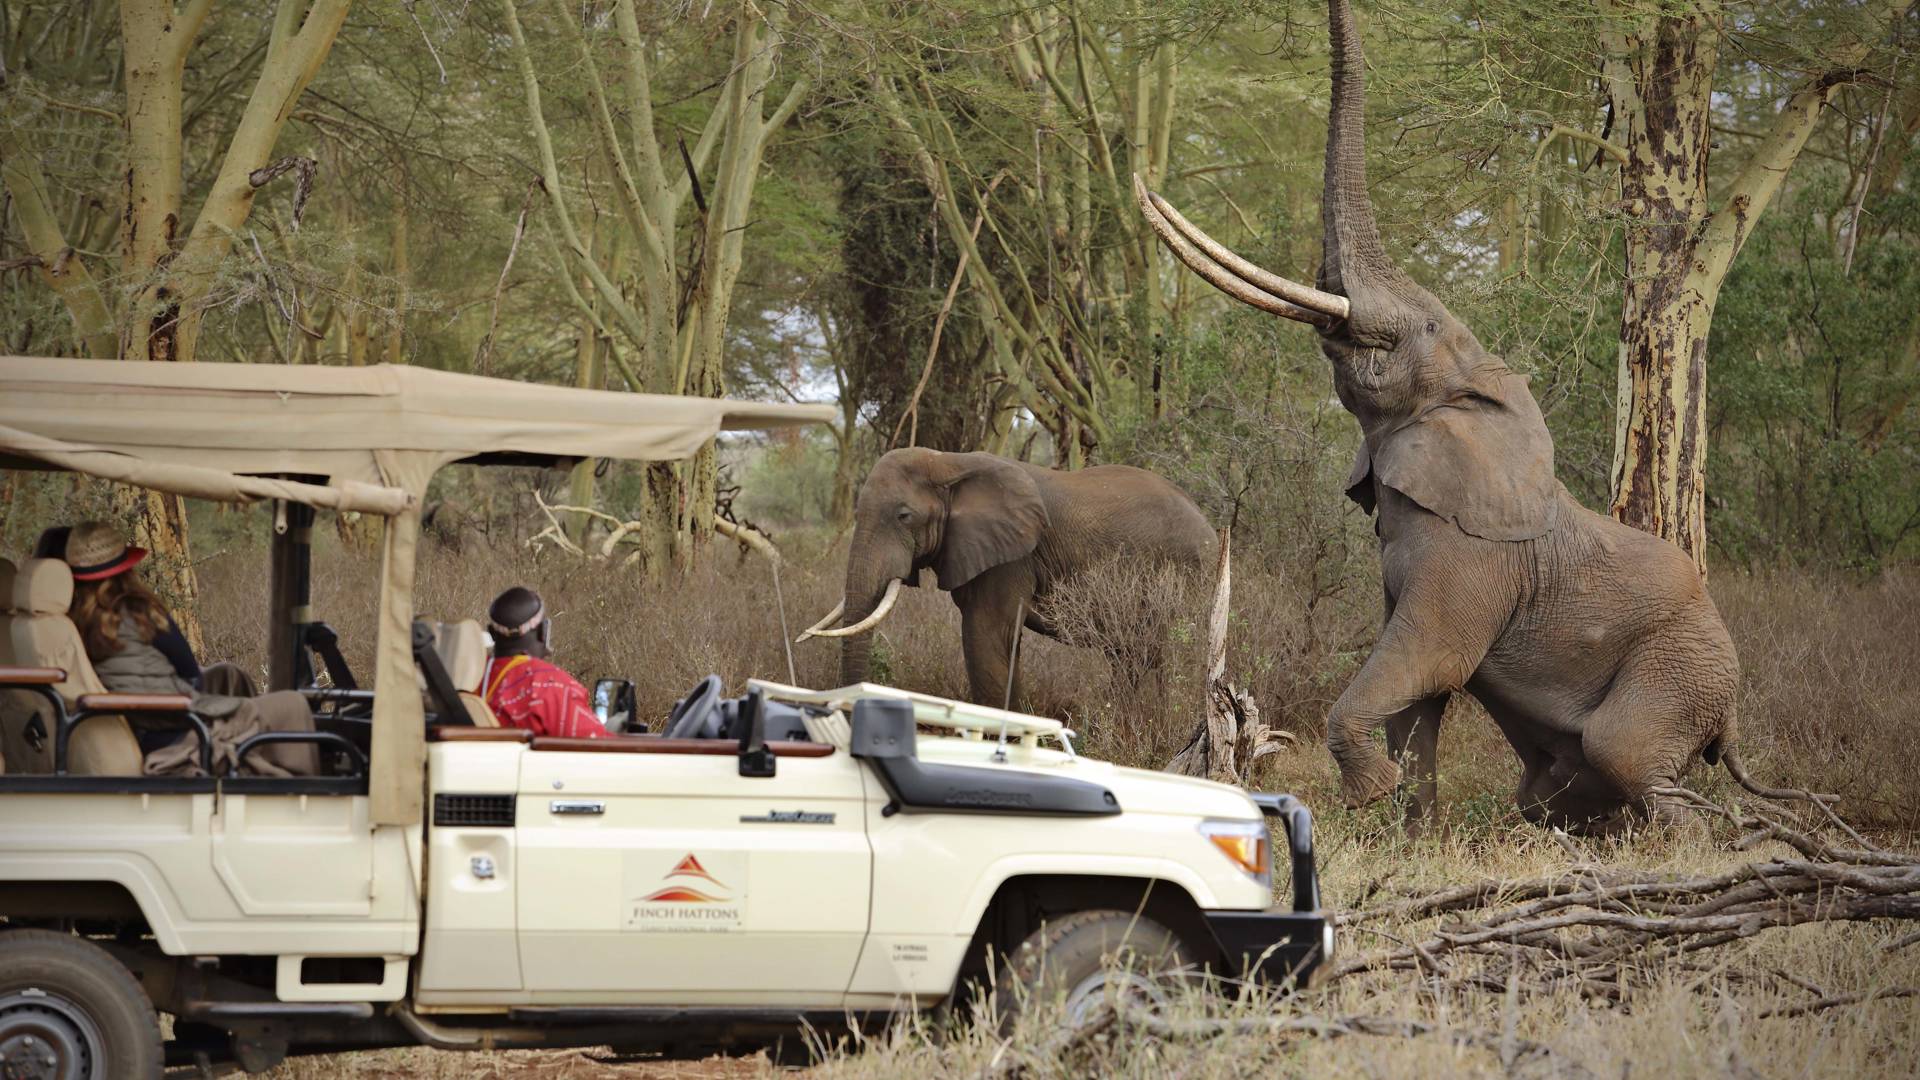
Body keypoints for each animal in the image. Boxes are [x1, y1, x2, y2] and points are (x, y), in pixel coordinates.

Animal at [1121, 0, 1781, 834]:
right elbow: (1416, 698)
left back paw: (1684, 844)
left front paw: (1368, 796)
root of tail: (1733, 715)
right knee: (1556, 788)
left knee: (1628, 753)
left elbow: (1427, 659)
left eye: (1426, 327)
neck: (1479, 395)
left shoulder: (1471, 561)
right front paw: (1409, 824)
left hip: (1681, 668)